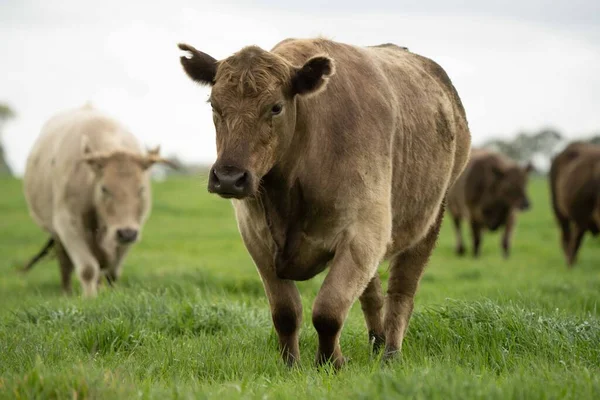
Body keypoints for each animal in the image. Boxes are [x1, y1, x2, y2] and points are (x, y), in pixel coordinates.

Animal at [22, 104, 173, 296]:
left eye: (141, 189)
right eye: (104, 189)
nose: (126, 233)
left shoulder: (134, 227)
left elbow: (112, 271)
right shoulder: (68, 224)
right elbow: (88, 269)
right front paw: (90, 298)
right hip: (57, 234)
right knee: (65, 264)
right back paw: (67, 293)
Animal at [178, 38, 474, 368]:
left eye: (276, 107)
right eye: (214, 105)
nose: (229, 178)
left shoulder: (363, 234)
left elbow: (328, 310)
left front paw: (331, 362)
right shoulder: (257, 241)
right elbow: (285, 312)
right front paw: (291, 364)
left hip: (430, 219)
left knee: (401, 293)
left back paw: (390, 355)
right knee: (372, 294)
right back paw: (376, 343)